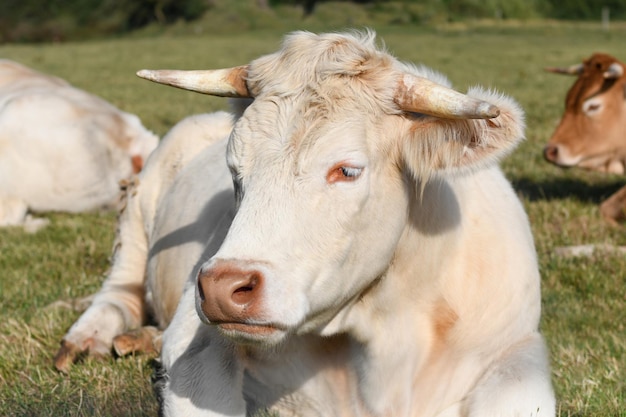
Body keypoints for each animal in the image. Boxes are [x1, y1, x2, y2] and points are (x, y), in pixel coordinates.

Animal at [53, 31, 552, 416]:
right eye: (235, 170)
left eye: (347, 170)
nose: (221, 287)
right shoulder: (192, 350)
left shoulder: (517, 352)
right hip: (136, 214)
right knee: (118, 289)